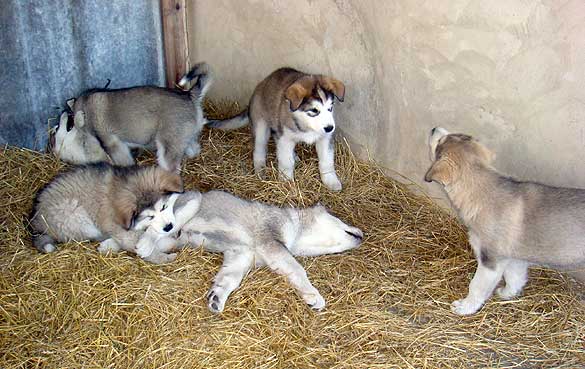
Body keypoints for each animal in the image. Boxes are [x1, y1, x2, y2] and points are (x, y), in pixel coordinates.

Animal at [27, 162, 181, 254]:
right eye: (149, 216)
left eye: (164, 207)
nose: (168, 227)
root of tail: (35, 223)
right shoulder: (117, 226)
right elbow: (132, 239)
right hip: (75, 214)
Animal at [50, 62, 212, 172]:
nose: (63, 115)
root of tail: (190, 96)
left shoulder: (110, 141)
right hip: (184, 138)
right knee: (193, 149)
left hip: (167, 147)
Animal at [131, 190, 364, 314]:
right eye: (340, 218)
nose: (362, 233)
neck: (296, 227)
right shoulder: (270, 241)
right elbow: (297, 269)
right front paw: (313, 296)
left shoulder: (240, 255)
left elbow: (229, 279)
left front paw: (217, 298)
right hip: (191, 203)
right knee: (156, 228)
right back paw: (145, 244)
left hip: (170, 241)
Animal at [208, 67, 344, 191]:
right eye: (314, 111)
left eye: (330, 108)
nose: (330, 128)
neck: (306, 125)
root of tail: (261, 85)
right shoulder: (285, 138)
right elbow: (286, 162)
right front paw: (286, 182)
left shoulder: (325, 139)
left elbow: (327, 161)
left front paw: (331, 181)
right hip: (261, 127)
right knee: (259, 149)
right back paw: (260, 171)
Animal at [424, 126, 584, 314]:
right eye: (462, 135)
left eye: (439, 144)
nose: (434, 128)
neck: (481, 191)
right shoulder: (514, 258)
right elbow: (515, 277)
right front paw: (508, 294)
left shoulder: (490, 262)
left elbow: (476, 287)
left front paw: (465, 307)